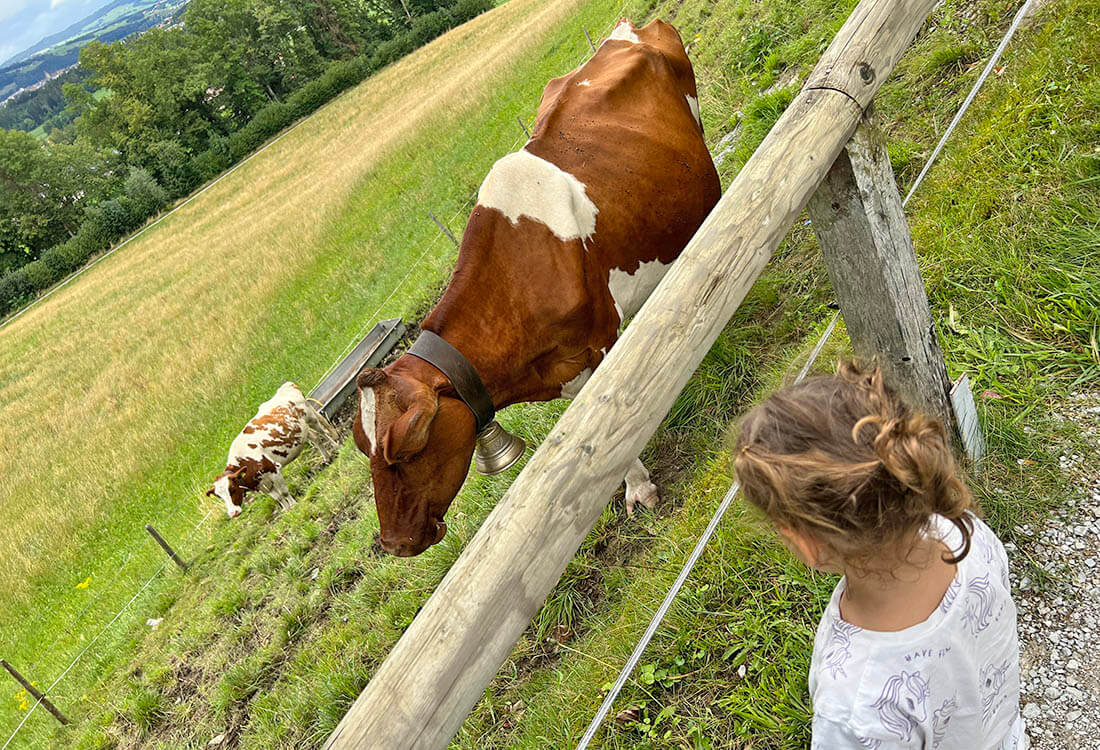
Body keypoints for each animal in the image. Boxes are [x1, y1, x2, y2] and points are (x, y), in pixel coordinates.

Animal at [207, 382, 341, 518]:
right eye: (220, 496)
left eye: (232, 489)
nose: (233, 513)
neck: (246, 461)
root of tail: (287, 385)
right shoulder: (262, 484)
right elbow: (278, 498)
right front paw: (287, 509)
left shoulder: (274, 470)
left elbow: (284, 492)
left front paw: (294, 505)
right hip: (302, 431)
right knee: (316, 439)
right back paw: (326, 458)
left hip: (311, 418)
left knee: (323, 432)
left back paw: (336, 446)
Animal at [353, 18, 721, 556]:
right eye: (363, 447)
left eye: (409, 442)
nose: (395, 541)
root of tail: (629, 26)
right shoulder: (564, 369)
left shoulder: (597, 343)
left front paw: (641, 489)